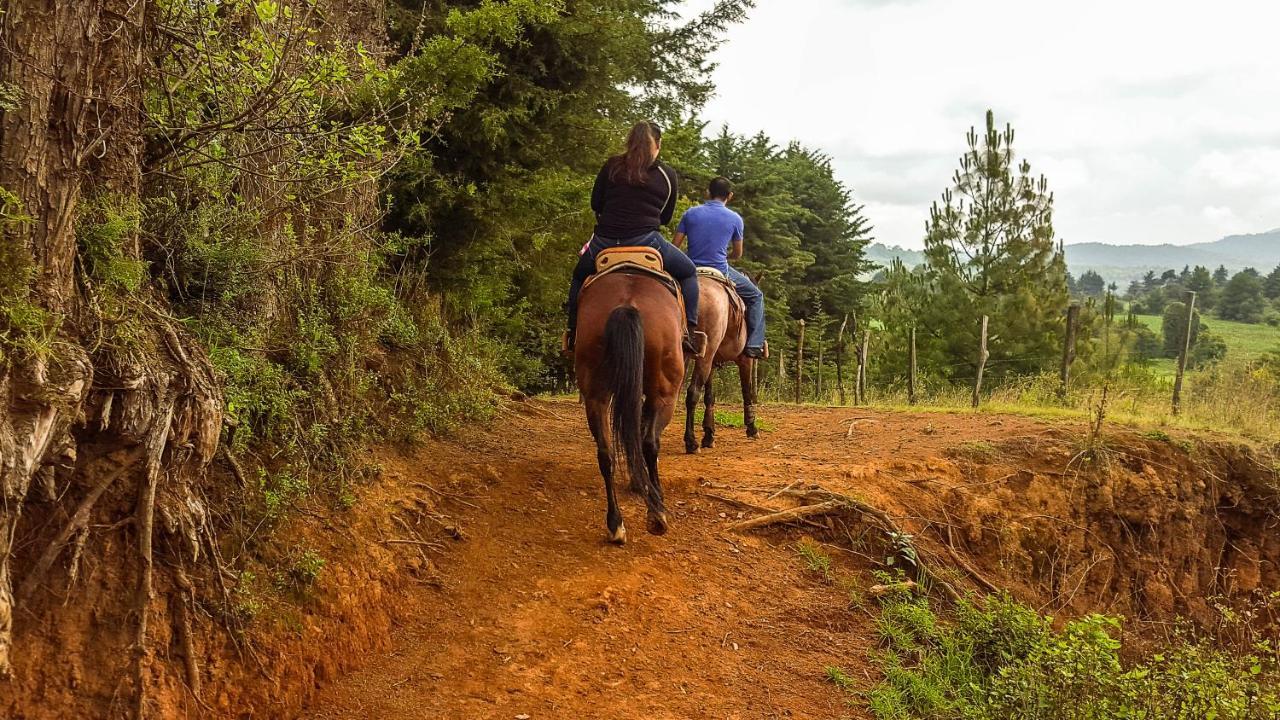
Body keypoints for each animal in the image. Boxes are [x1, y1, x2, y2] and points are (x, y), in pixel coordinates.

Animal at [576, 266, 686, 540]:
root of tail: (628, 304)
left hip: (595, 392)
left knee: (606, 452)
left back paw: (616, 523)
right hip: (665, 393)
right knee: (649, 443)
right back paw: (657, 513)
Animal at [686, 267, 752, 448]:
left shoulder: (713, 361)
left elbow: (709, 395)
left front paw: (709, 433)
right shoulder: (746, 359)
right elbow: (747, 389)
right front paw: (752, 426)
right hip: (703, 355)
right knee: (692, 393)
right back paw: (690, 441)